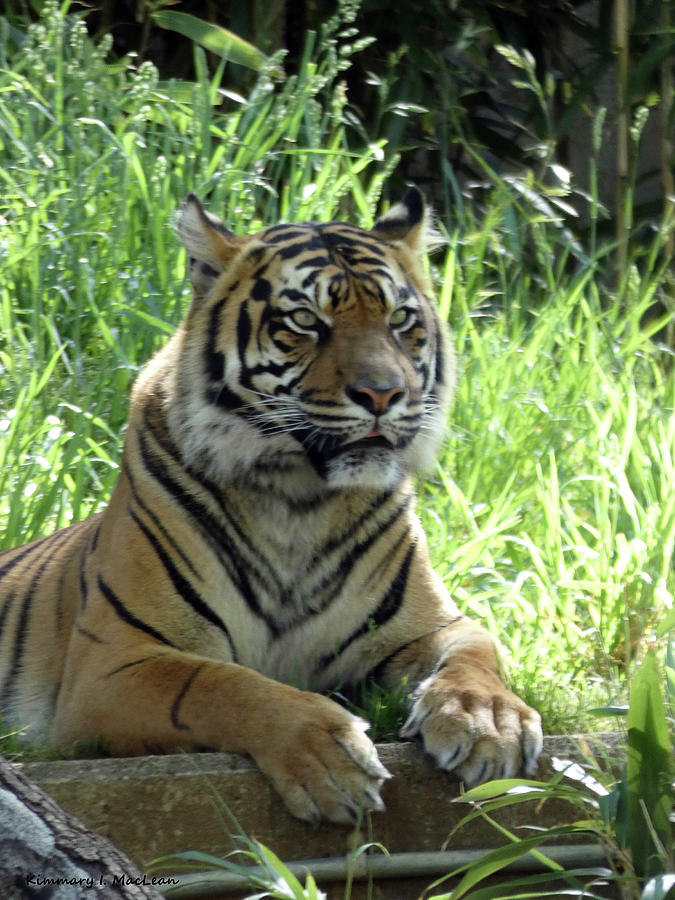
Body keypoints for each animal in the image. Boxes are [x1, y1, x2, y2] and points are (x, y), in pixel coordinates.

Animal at [0, 190, 540, 824]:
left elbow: (477, 655)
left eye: (399, 320)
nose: (384, 394)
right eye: (306, 320)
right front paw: (329, 757)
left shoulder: (427, 626)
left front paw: (490, 722)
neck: (299, 500)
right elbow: (221, 684)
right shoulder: (112, 665)